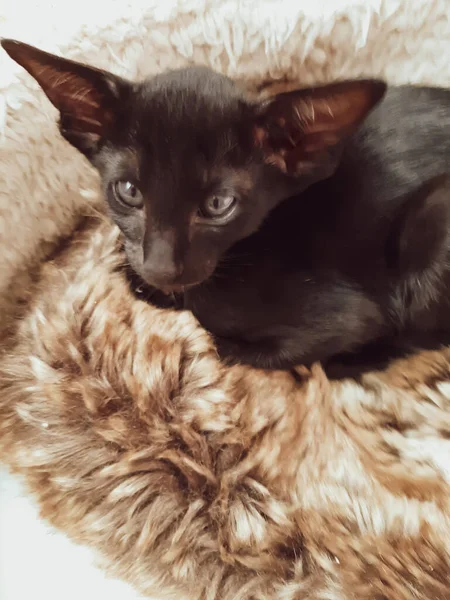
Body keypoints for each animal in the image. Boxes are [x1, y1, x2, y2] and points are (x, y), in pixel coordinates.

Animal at [3, 39, 450, 368]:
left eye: (218, 204)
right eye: (129, 191)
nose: (160, 267)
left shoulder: (347, 318)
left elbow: (233, 350)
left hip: (431, 217)